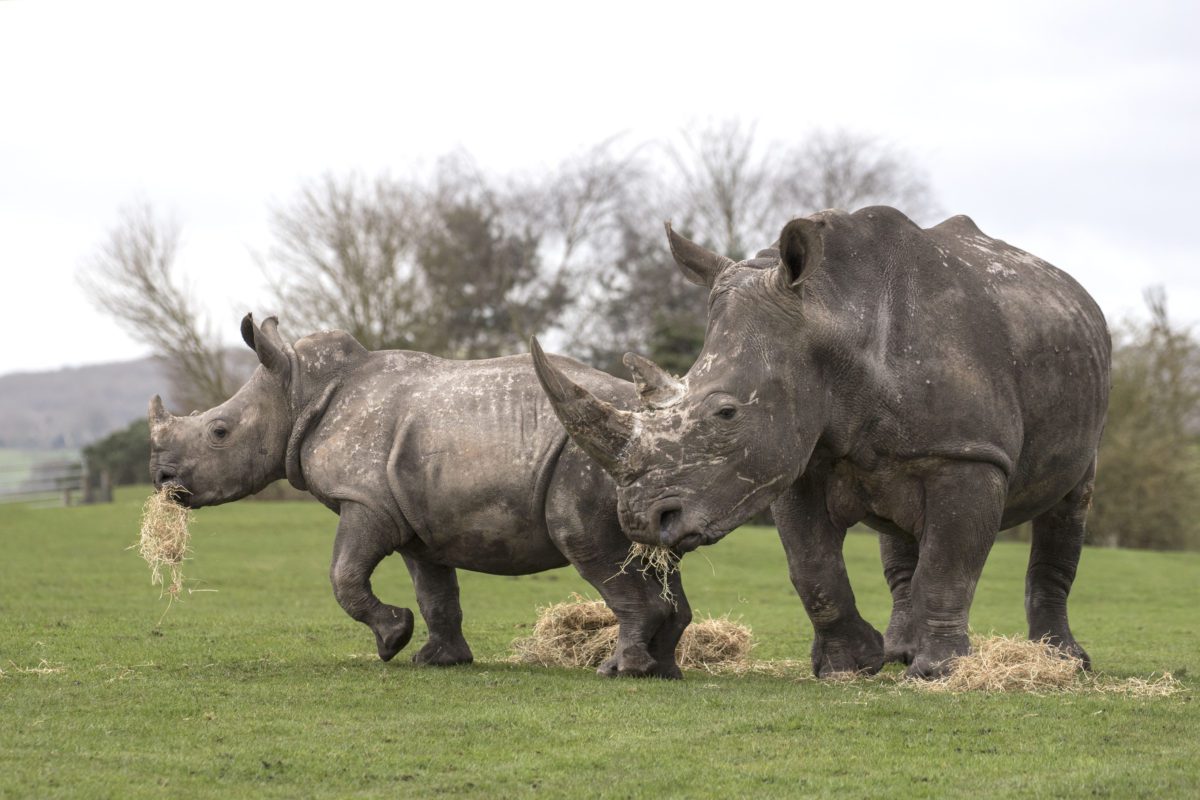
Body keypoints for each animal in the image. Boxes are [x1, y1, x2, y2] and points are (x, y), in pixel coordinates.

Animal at [147, 315, 691, 678]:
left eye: (219, 431)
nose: (160, 479)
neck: (297, 393)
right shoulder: (417, 516)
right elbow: (435, 593)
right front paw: (437, 660)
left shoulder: (364, 499)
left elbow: (343, 574)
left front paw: (392, 639)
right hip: (653, 473)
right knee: (657, 555)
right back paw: (664, 671)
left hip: (595, 458)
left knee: (585, 541)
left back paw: (620, 671)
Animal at [531, 207, 1110, 679]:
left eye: (726, 413)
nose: (640, 522)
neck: (834, 316)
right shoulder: (793, 458)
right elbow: (812, 566)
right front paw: (849, 666)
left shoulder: (966, 453)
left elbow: (950, 564)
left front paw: (940, 672)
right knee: (900, 533)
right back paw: (899, 652)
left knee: (1071, 499)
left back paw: (1063, 663)